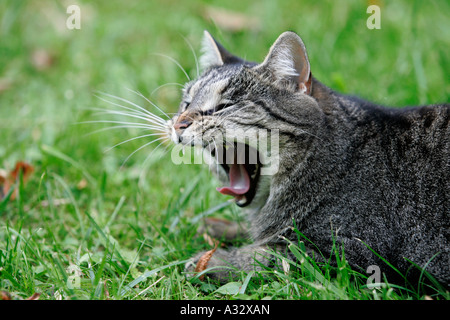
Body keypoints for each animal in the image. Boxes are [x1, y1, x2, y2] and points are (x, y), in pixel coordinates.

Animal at [167, 30, 448, 288]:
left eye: (226, 106)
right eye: (186, 103)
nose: (178, 123)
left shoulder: (350, 253)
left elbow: (269, 256)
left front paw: (212, 261)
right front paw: (218, 227)